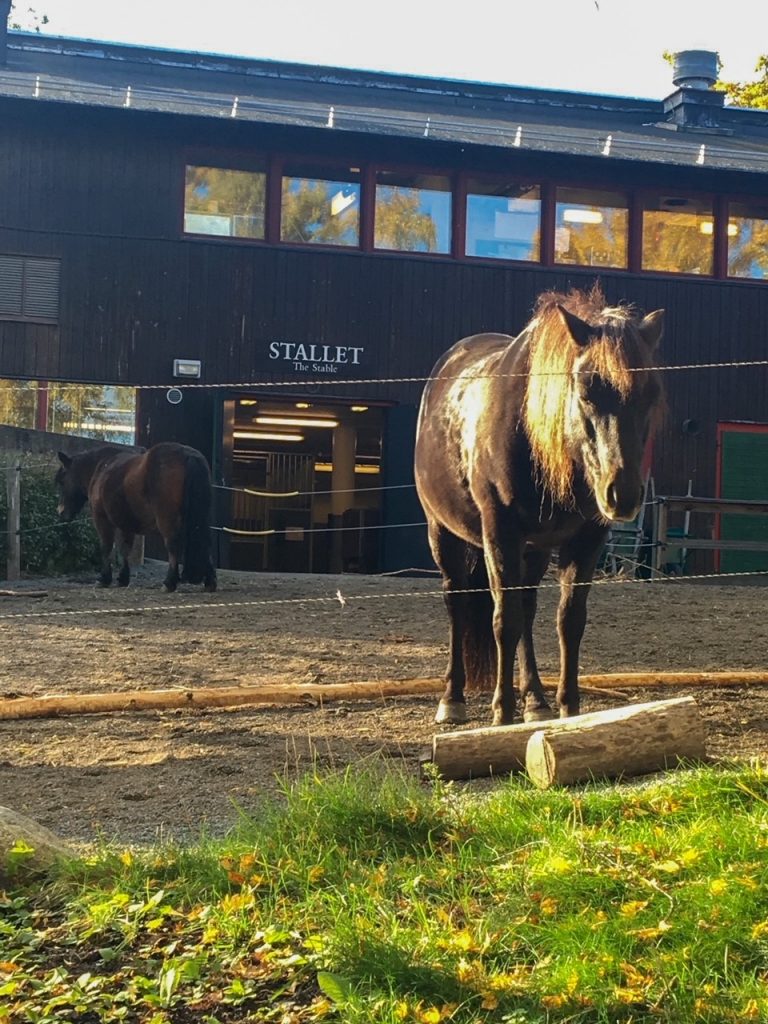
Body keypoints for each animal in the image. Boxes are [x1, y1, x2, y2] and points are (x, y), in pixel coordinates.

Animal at [55, 440, 218, 593]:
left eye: (62, 481)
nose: (61, 512)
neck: (101, 468)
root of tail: (187, 455)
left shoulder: (102, 519)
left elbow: (106, 547)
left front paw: (104, 578)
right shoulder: (125, 523)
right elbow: (125, 549)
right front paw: (123, 578)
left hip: (168, 521)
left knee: (173, 547)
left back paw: (169, 583)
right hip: (201, 520)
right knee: (206, 545)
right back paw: (209, 582)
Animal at [417, 284, 663, 724]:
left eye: (651, 394)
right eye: (586, 389)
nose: (622, 494)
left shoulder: (586, 538)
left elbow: (569, 620)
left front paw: (568, 709)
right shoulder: (500, 532)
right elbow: (504, 619)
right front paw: (502, 713)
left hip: (534, 550)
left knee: (528, 607)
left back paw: (535, 700)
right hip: (442, 531)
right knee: (457, 601)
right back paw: (453, 698)